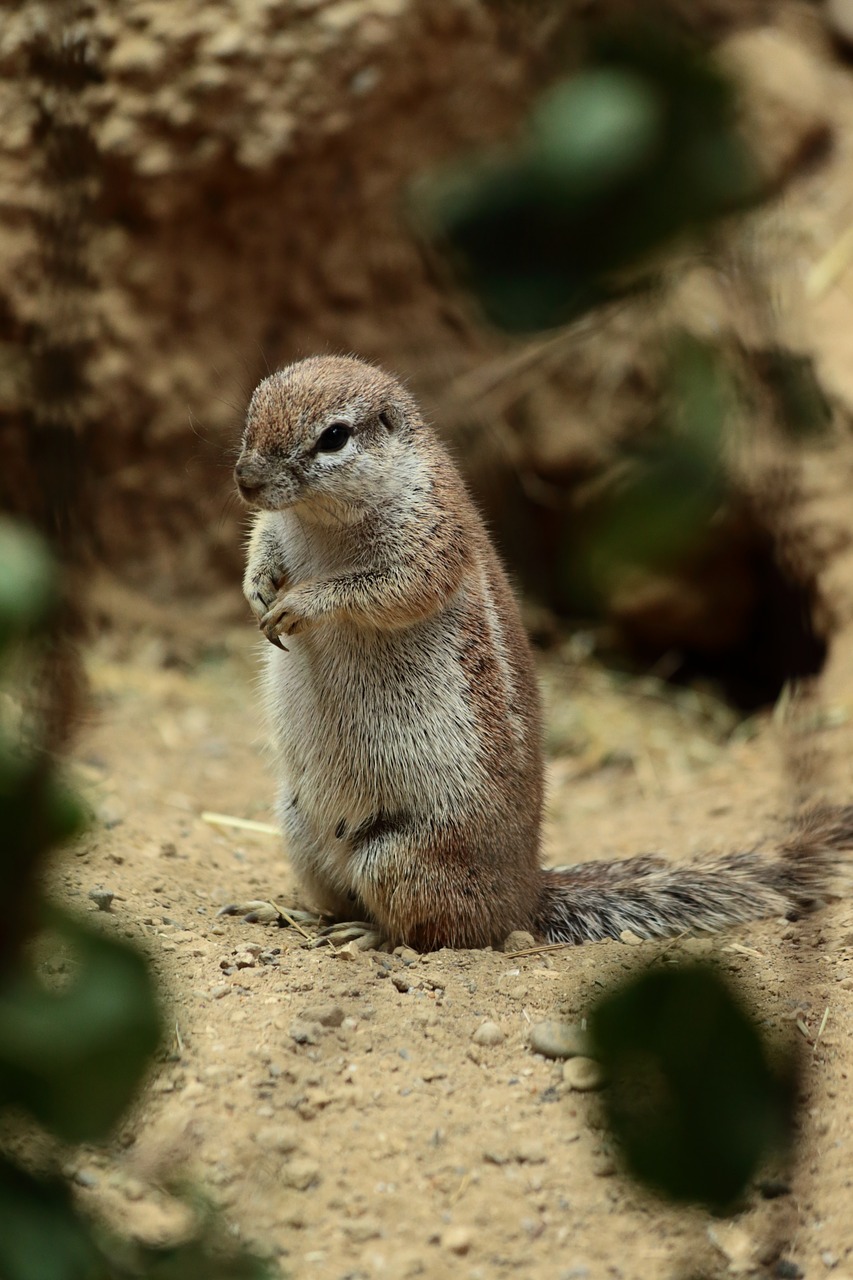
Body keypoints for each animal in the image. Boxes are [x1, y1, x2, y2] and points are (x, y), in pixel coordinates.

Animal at [229, 350, 845, 952]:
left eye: (333, 437)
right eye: (253, 406)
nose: (246, 481)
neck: (319, 518)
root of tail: (525, 894)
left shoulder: (429, 540)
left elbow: (383, 590)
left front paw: (302, 602)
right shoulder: (278, 527)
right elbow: (261, 543)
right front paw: (257, 589)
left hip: (401, 856)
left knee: (438, 931)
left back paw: (367, 935)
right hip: (298, 828)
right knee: (340, 898)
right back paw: (290, 912)